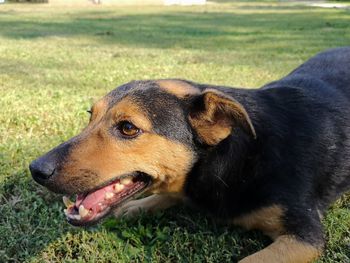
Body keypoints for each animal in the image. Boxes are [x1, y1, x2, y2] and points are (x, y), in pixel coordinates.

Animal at [30, 48, 350, 263]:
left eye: (128, 128)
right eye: (90, 116)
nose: (35, 169)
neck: (234, 158)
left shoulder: (305, 237)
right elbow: (167, 194)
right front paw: (136, 207)